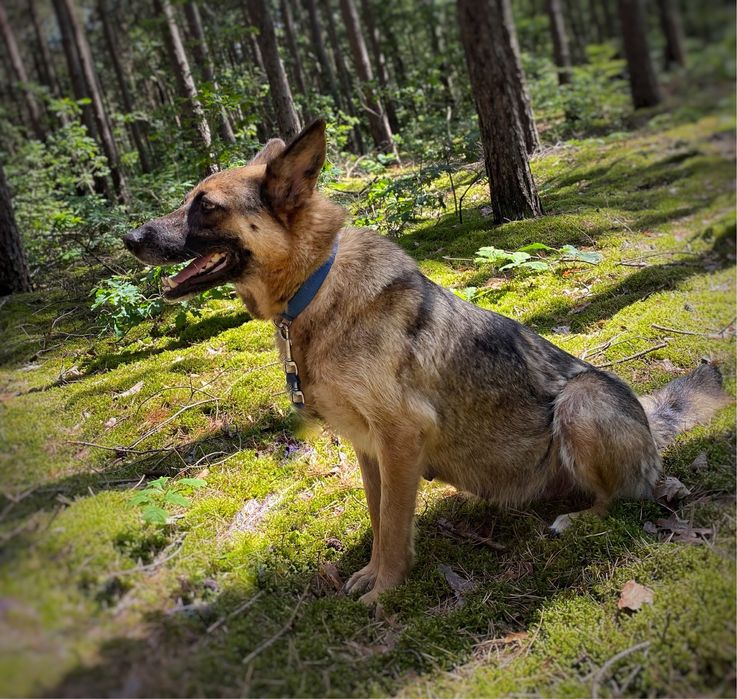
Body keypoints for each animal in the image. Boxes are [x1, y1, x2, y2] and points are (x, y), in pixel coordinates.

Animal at [125, 117, 732, 604]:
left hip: (582, 401)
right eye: (189, 198)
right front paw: (370, 574)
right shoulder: (370, 448)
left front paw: (386, 591)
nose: (129, 238)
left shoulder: (401, 439)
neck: (314, 291)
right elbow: (378, 519)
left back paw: (578, 519)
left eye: (206, 206)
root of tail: (650, 424)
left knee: (628, 496)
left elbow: (394, 525)